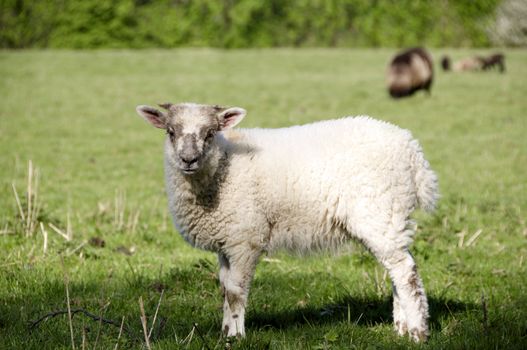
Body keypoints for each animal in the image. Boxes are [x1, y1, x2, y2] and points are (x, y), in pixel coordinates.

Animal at [137, 101, 442, 342]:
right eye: (171, 132)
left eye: (210, 133)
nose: (188, 159)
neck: (223, 167)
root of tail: (412, 150)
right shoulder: (226, 239)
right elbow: (224, 288)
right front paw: (224, 332)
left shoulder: (245, 237)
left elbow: (235, 291)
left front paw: (236, 336)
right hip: (389, 217)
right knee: (397, 269)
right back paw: (401, 328)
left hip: (381, 211)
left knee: (406, 272)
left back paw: (418, 333)